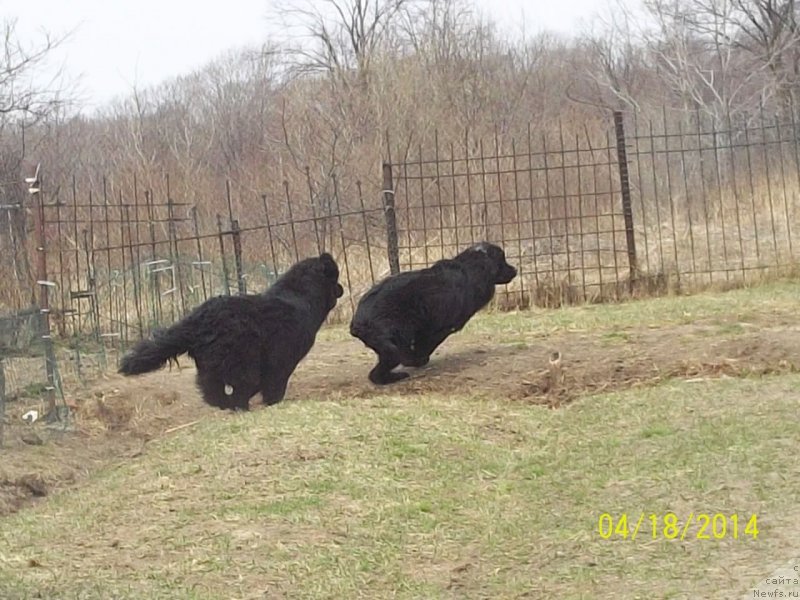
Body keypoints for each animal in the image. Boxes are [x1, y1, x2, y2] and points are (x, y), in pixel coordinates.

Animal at [119, 251, 344, 410]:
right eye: (335, 279)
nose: (342, 289)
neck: (301, 296)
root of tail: (197, 321)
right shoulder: (280, 360)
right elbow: (274, 384)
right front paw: (273, 402)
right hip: (244, 359)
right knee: (239, 387)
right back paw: (238, 405)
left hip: (211, 366)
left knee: (212, 389)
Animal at [350, 243, 520, 384]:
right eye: (502, 260)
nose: (516, 270)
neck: (471, 268)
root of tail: (358, 323)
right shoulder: (439, 328)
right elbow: (427, 346)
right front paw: (419, 360)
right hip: (394, 343)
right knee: (380, 372)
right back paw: (397, 376)